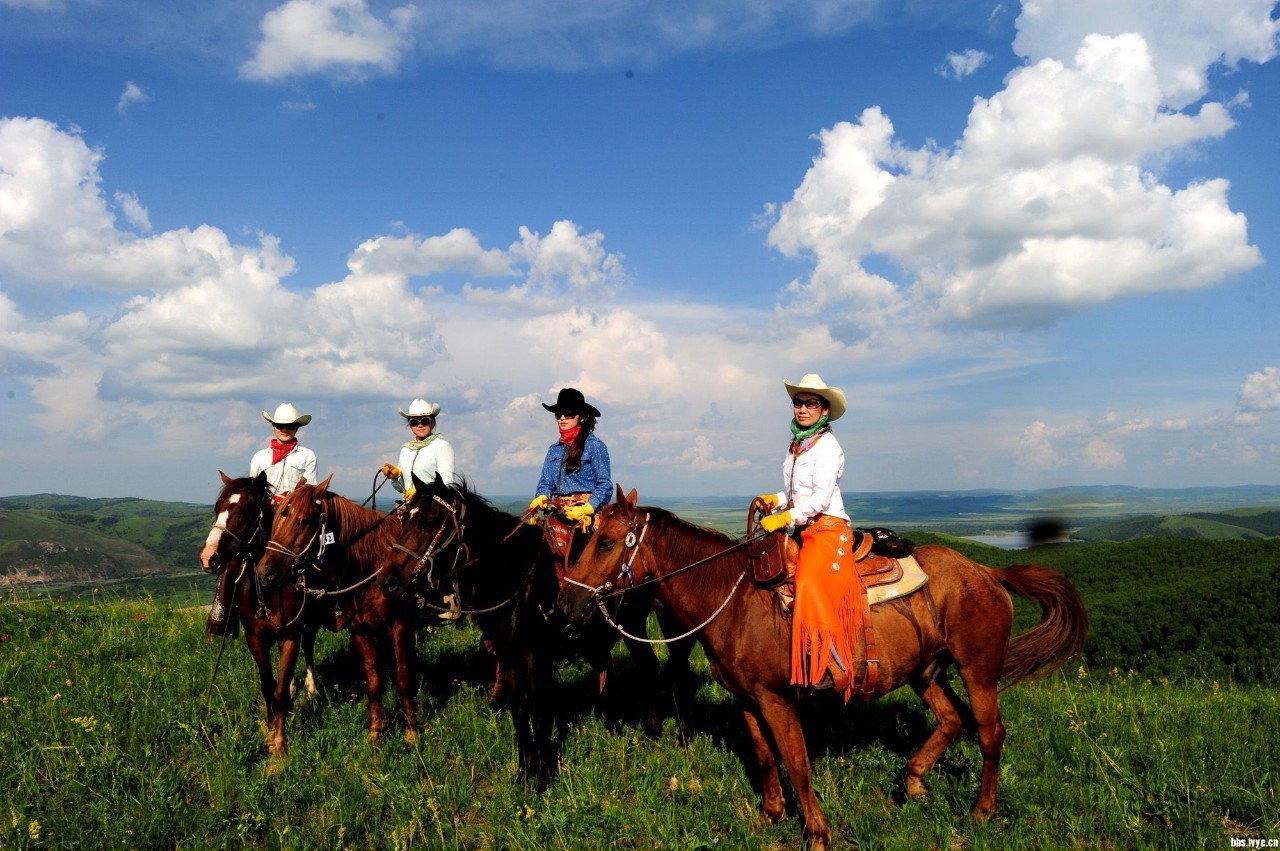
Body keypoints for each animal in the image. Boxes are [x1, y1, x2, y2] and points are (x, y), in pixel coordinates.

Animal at [194, 470, 335, 757]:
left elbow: (280, 691)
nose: (208, 557)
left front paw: (281, 742)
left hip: (312, 622)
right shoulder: (255, 638)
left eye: (248, 510)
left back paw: (310, 688)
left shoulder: (290, 635)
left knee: (309, 646)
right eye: (217, 508)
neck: (269, 587)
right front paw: (270, 732)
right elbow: (268, 686)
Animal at [254, 478, 419, 742]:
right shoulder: (359, 629)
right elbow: (373, 681)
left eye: (304, 520)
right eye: (278, 517)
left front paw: (412, 732)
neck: (372, 562)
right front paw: (376, 733)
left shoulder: (400, 625)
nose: (265, 571)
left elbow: (403, 678)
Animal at [376, 470, 696, 783]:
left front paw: (542, 774)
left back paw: (655, 732)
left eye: (430, 520)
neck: (514, 576)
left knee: (652, 666)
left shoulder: (535, 657)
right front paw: (524, 770)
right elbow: (519, 708)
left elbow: (539, 709)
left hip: (638, 627)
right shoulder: (508, 656)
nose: (387, 581)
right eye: (404, 519)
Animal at [555, 483, 1085, 849]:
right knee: (952, 719)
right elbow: (765, 757)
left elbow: (798, 762)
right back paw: (913, 781)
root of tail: (988, 572)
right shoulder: (747, 699)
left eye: (607, 542)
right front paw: (770, 815)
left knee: (990, 733)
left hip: (978, 671)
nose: (566, 603)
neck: (732, 597)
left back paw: (981, 811)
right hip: (925, 671)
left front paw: (817, 832)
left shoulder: (776, 699)